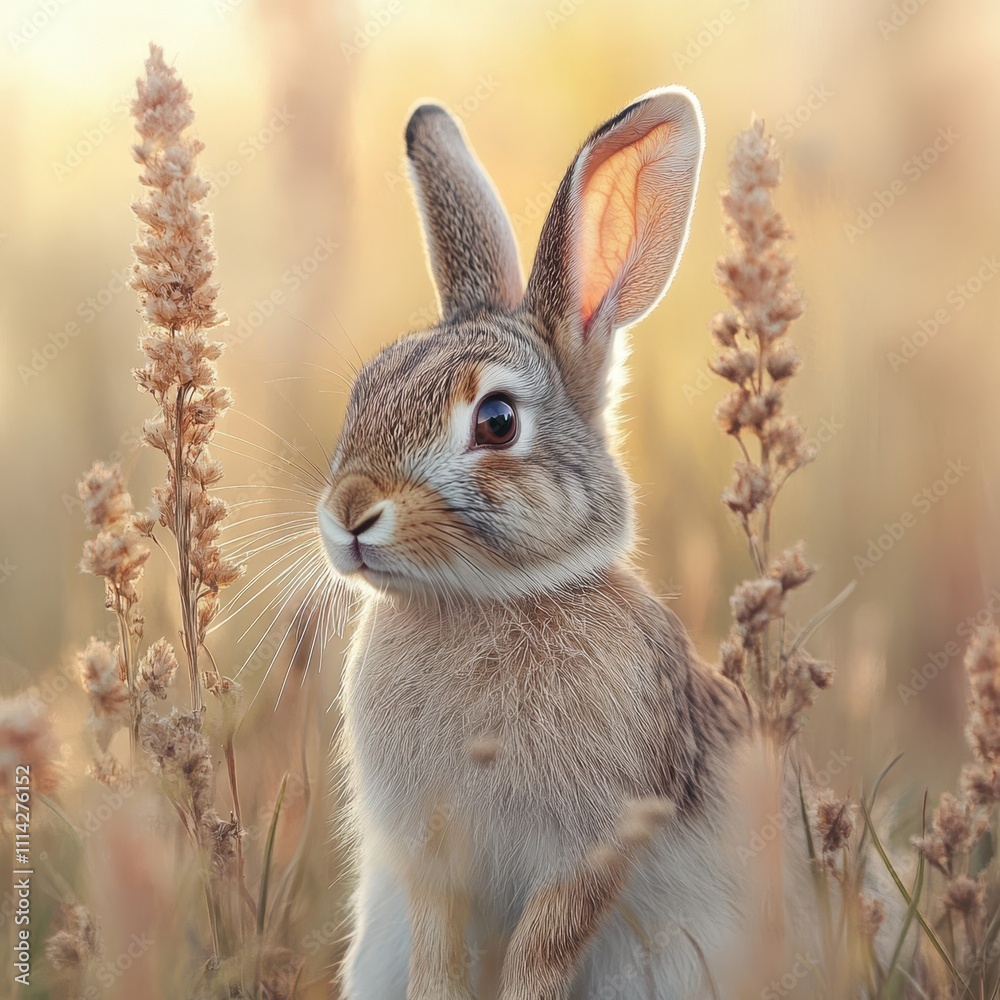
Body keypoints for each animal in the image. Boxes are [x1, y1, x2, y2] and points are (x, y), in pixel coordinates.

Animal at [317, 88, 896, 999]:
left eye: (496, 420)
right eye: (365, 389)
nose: (348, 513)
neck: (482, 601)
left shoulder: (590, 849)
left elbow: (544, 947)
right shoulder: (430, 862)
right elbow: (440, 950)